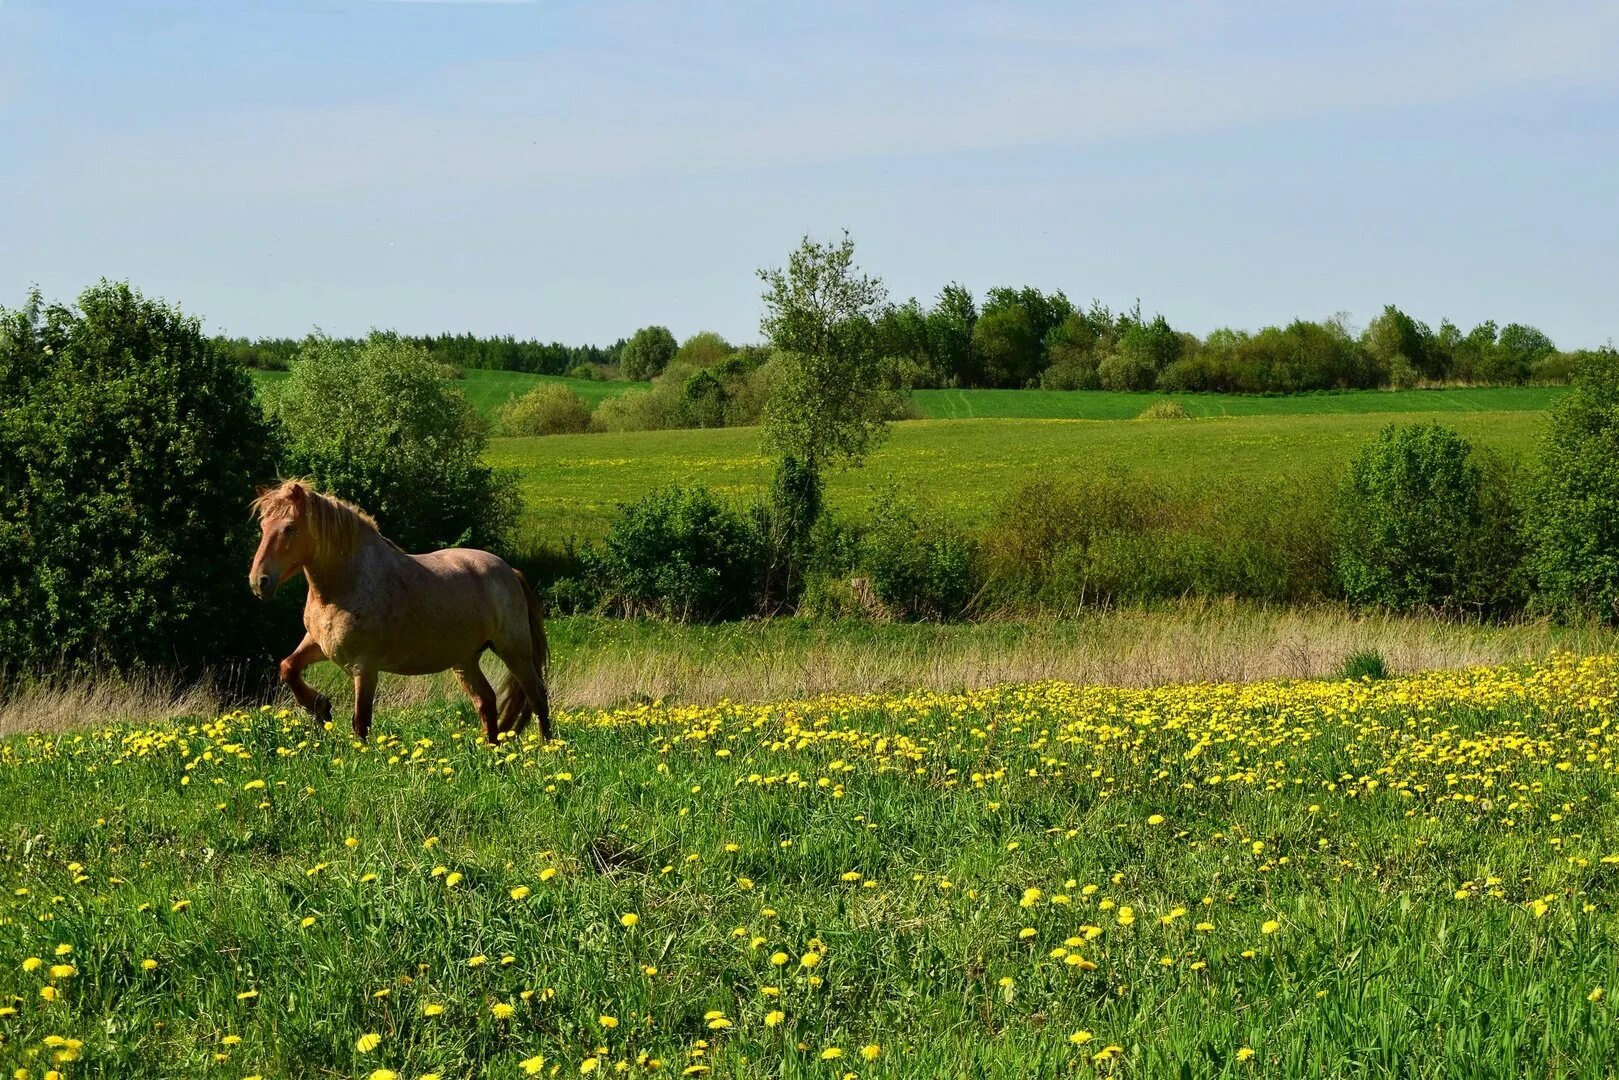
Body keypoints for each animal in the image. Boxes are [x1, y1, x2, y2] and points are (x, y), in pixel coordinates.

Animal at [246, 482, 550, 744]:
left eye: (289, 528)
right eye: (263, 525)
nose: (259, 582)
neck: (346, 583)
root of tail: (510, 571)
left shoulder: (364, 667)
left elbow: (361, 722)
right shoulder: (319, 644)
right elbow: (288, 667)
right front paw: (320, 707)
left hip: (514, 650)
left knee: (537, 697)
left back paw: (547, 748)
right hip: (465, 660)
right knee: (486, 701)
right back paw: (491, 750)